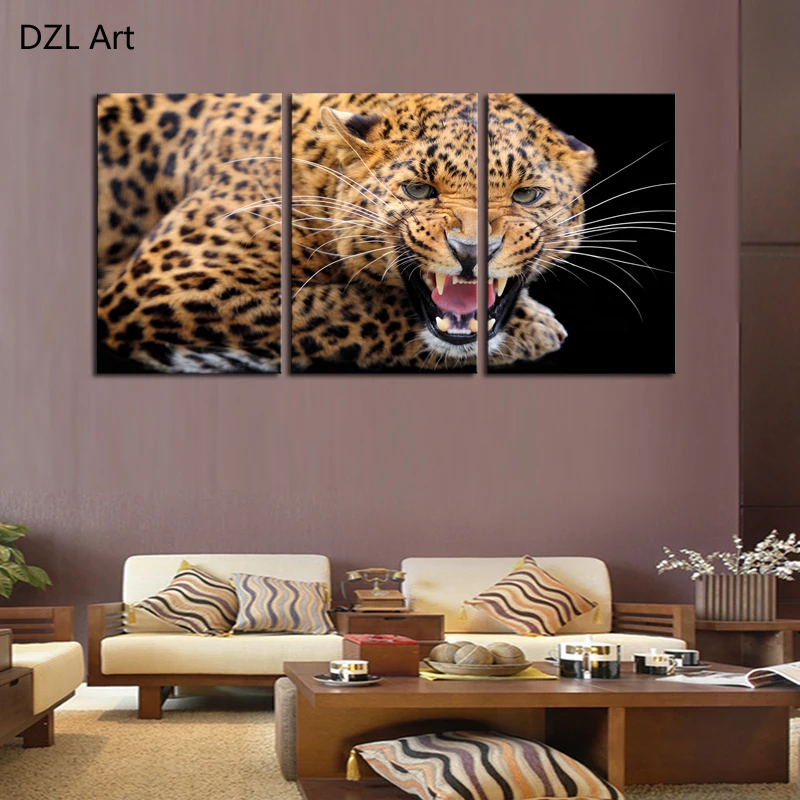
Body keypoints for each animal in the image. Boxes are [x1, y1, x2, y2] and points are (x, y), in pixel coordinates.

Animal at [97, 93, 595, 373]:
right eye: (418, 189)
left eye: (526, 195)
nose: (473, 252)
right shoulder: (160, 282)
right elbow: (332, 306)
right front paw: (533, 329)